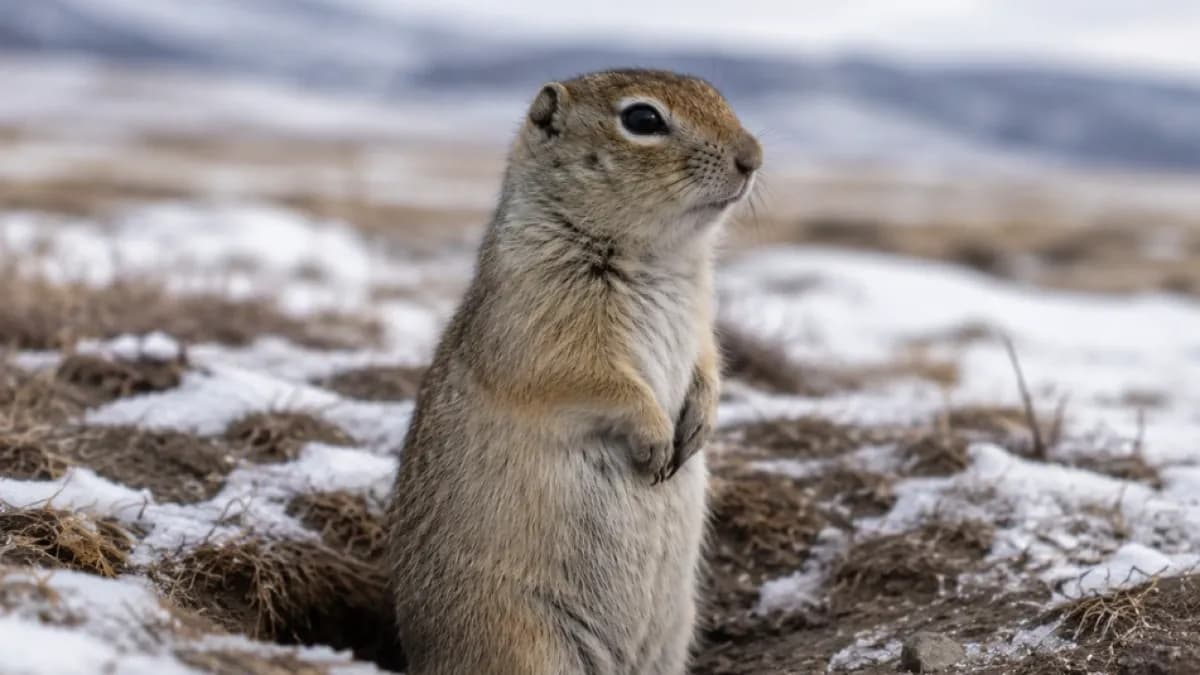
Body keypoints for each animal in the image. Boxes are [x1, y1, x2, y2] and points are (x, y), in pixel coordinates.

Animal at [387, 69, 762, 675]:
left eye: (721, 96)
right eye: (643, 119)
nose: (753, 157)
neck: (660, 256)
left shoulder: (703, 325)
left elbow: (708, 366)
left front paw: (699, 427)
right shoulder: (547, 331)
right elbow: (592, 380)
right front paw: (656, 440)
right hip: (525, 643)